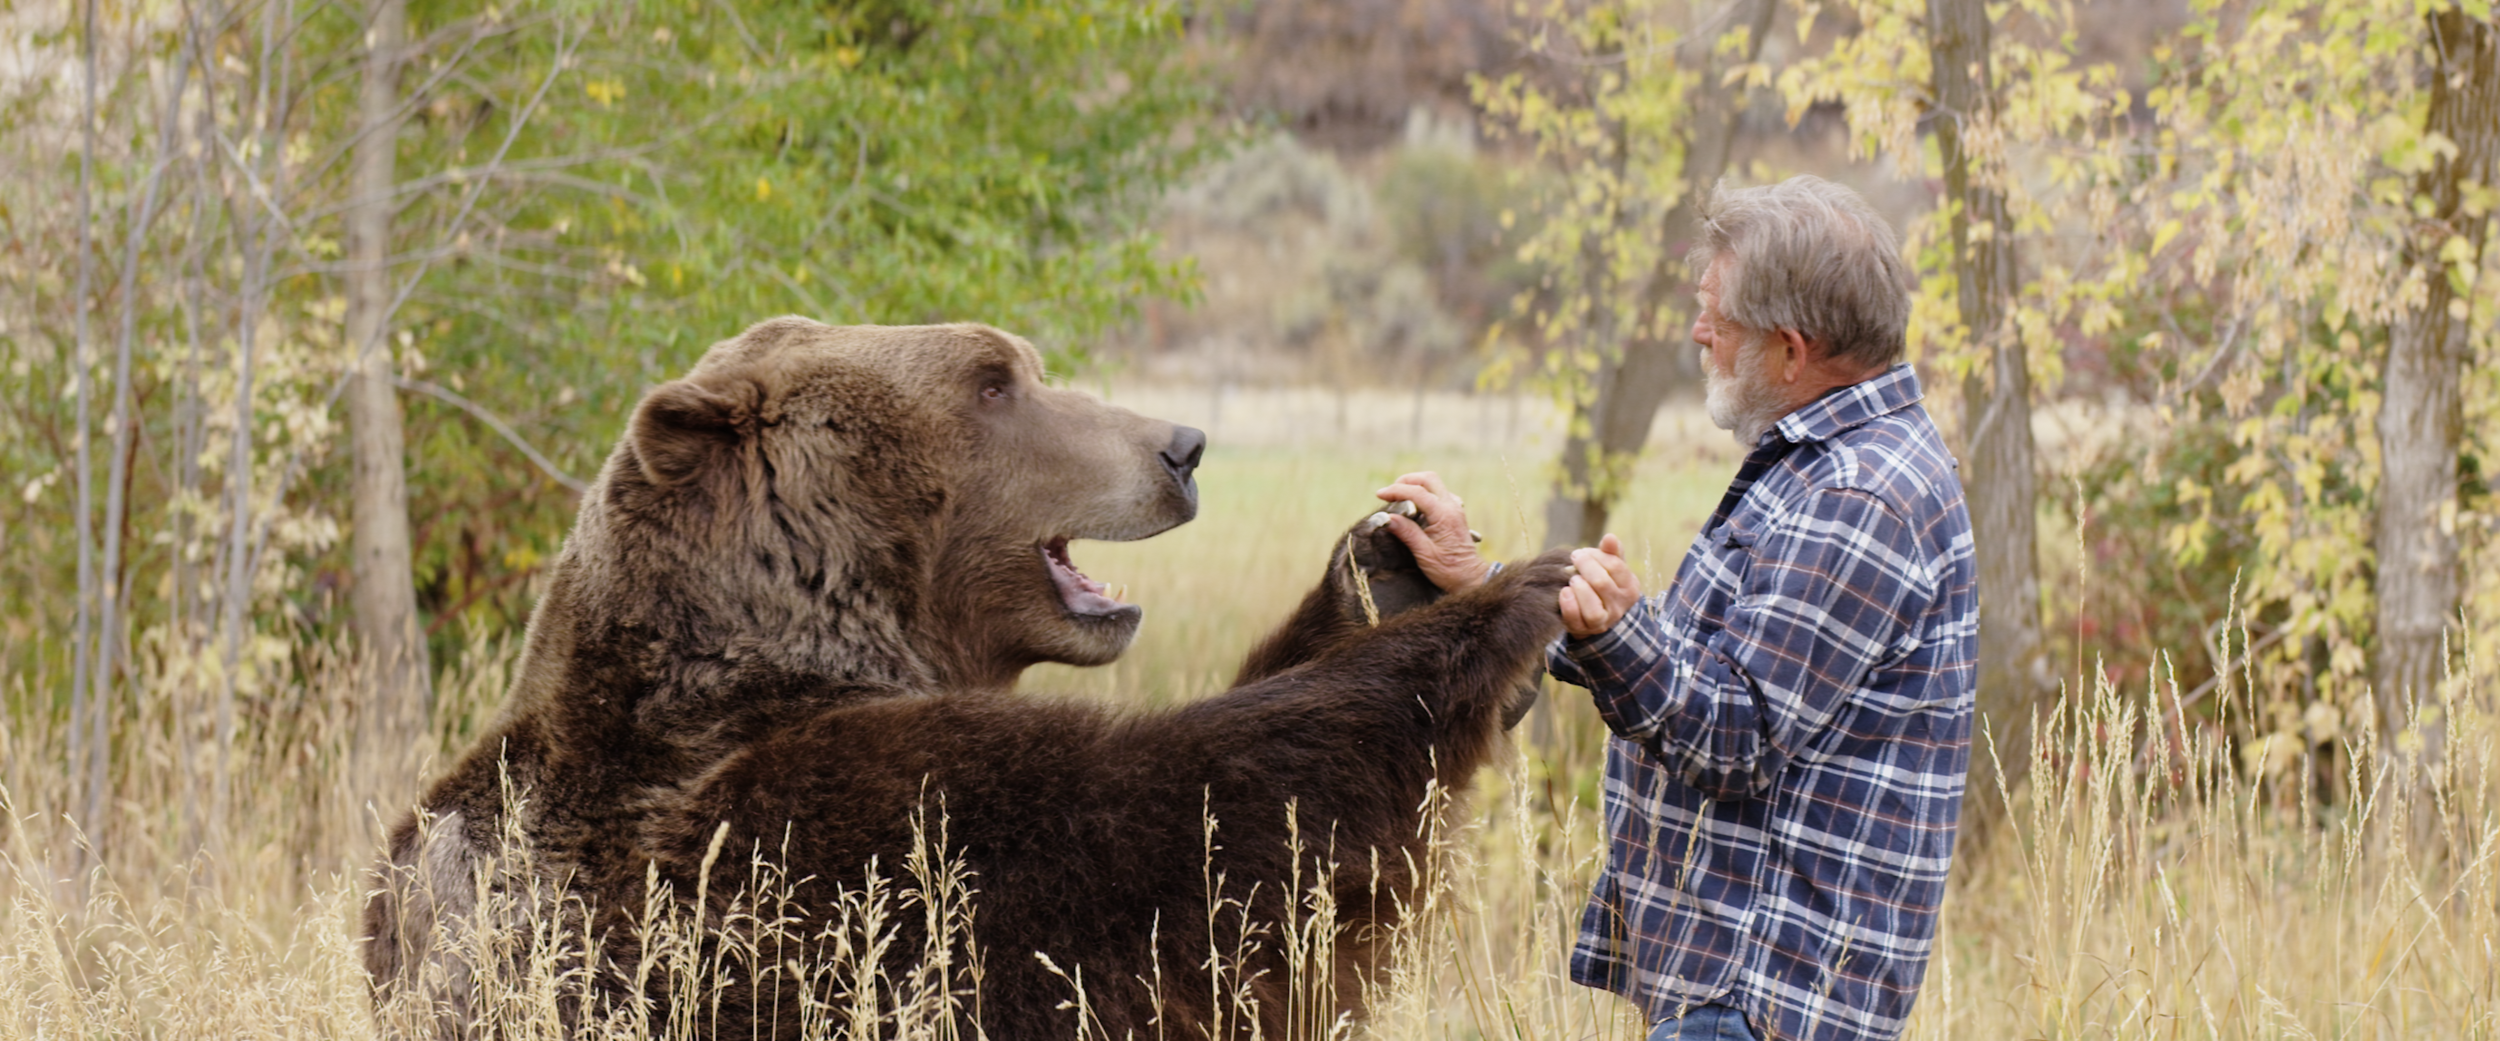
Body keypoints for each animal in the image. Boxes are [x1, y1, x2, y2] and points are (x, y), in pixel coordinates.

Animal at [363, 318, 1571, 1040]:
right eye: (993, 382)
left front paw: (1384, 564)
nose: (1182, 447)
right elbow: (1200, 851)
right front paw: (1507, 601)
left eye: (1020, 365)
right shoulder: (811, 850)